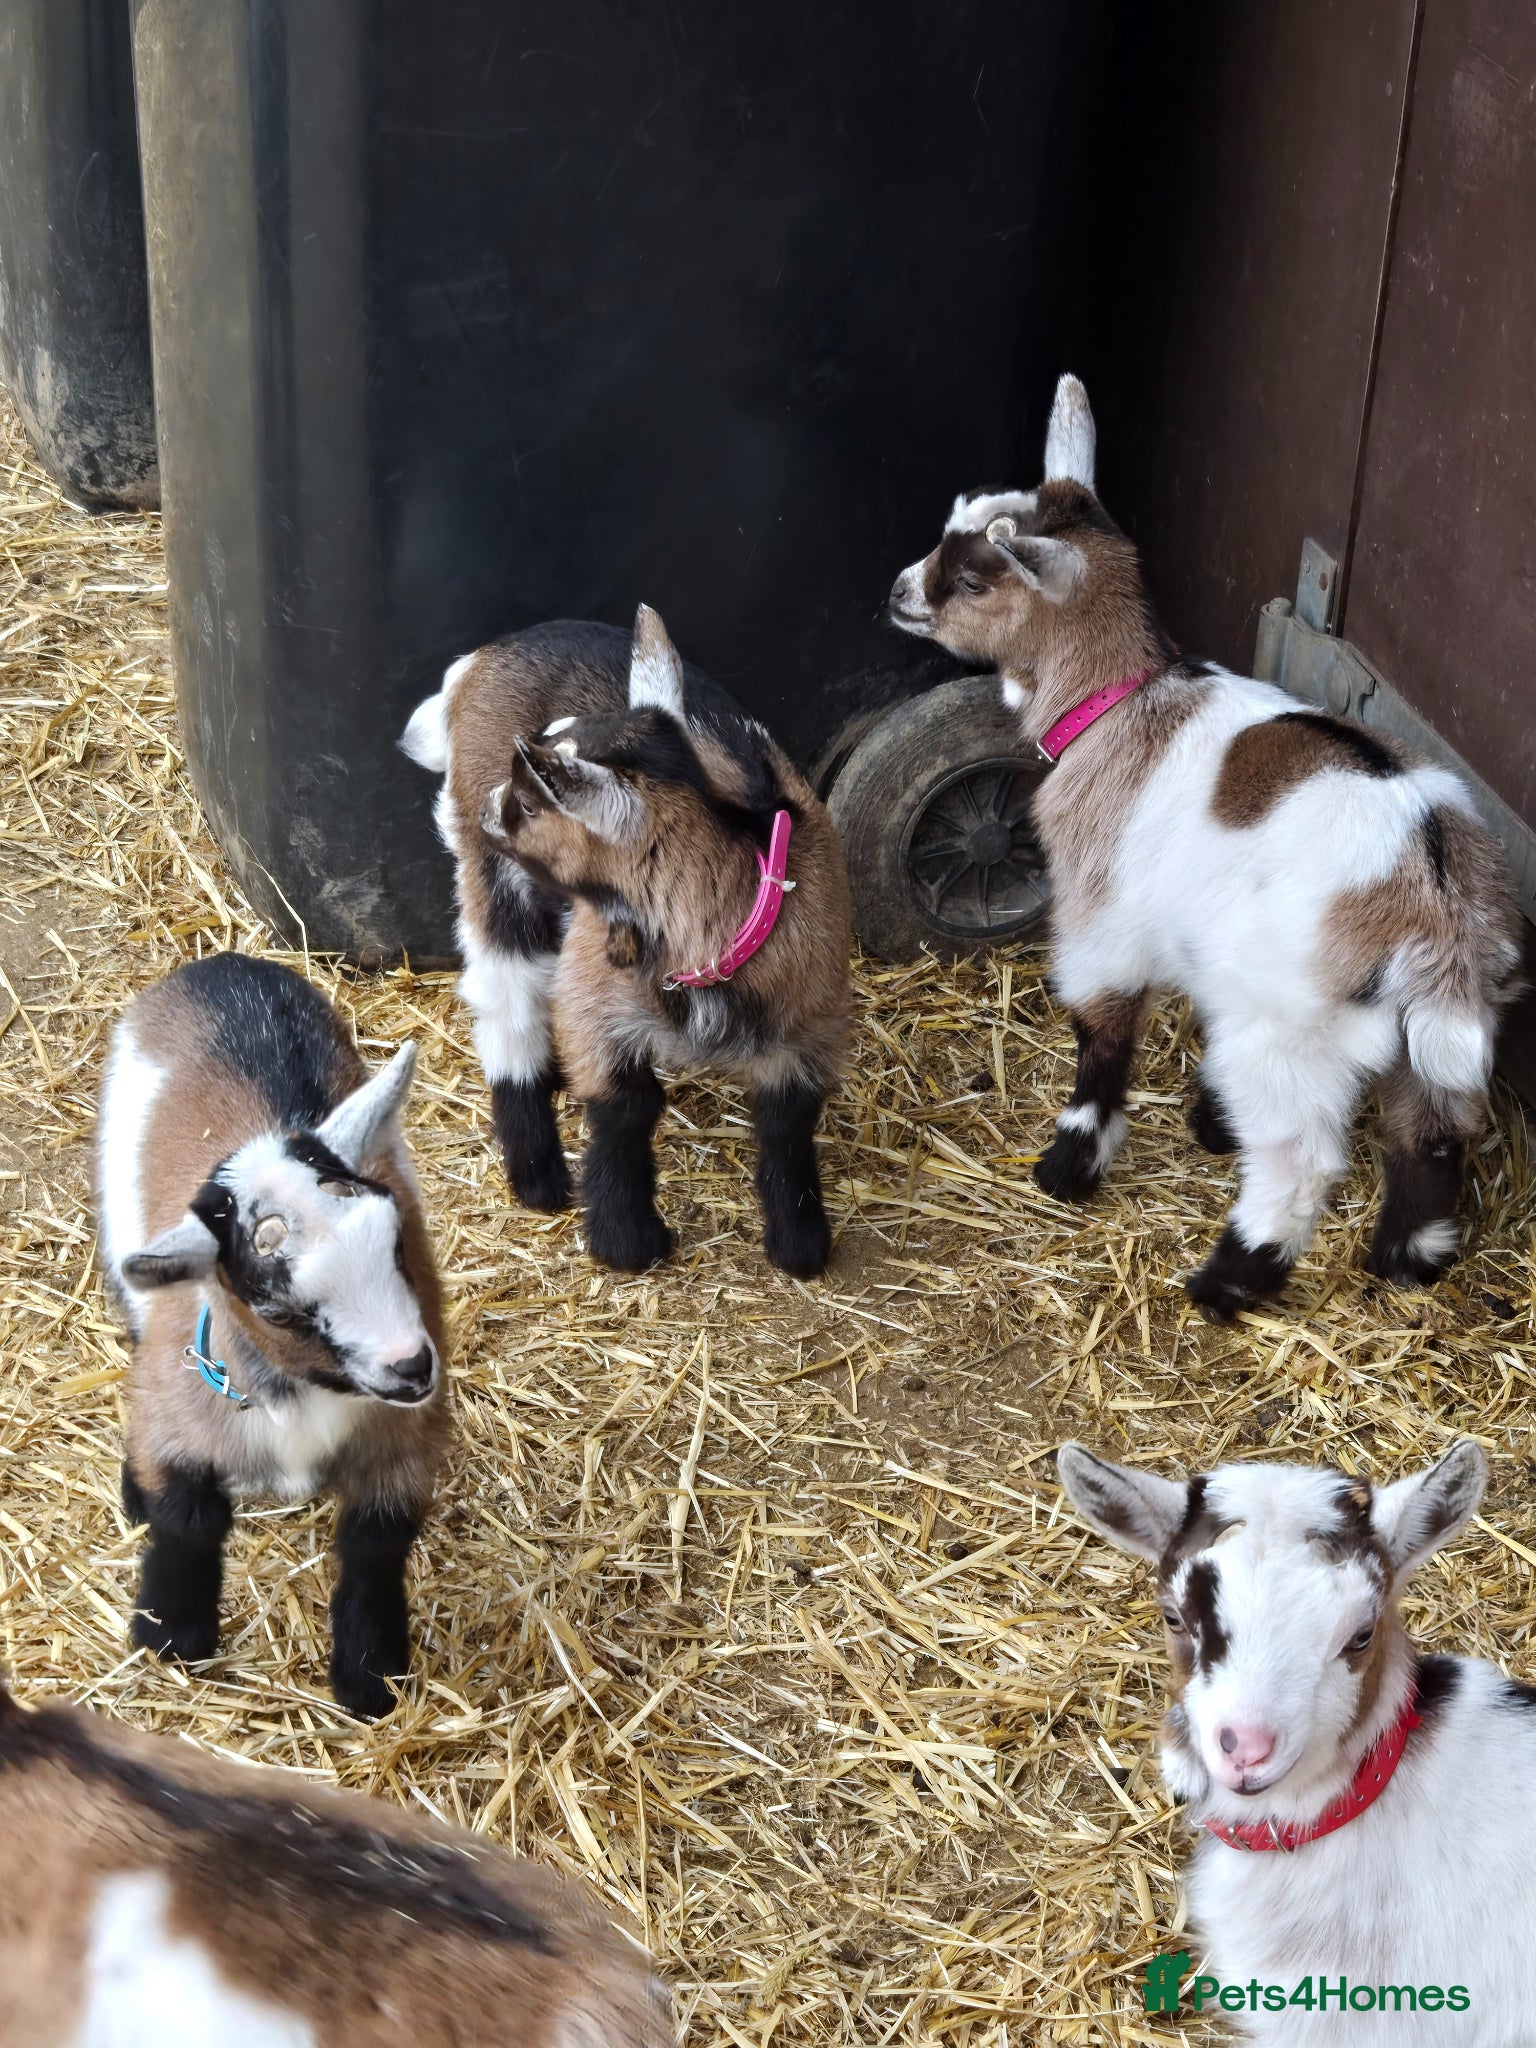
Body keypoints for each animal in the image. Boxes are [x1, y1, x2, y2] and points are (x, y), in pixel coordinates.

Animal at [96, 953, 450, 1718]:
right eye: (281, 1311)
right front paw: (171, 1633)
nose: (412, 1367)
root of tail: (220, 963)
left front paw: (370, 1674)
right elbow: (186, 1517)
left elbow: (376, 1542)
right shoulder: (181, 1403)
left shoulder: (405, 1441)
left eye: (397, 1247)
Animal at [400, 607, 852, 1276]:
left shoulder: (811, 1020)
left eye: (531, 801)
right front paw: (627, 1238)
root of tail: (485, 656)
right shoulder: (596, 992)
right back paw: (537, 1172)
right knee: (505, 995)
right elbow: (627, 1104)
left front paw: (800, 1242)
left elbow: (788, 1120)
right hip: (491, 876)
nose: (488, 807)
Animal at [889, 375, 1522, 1317]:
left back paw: (1232, 1277)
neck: (1116, 704)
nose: (897, 591)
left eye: (971, 579)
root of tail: (1434, 889)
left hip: (1292, 1024)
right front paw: (1210, 1122)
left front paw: (1072, 1161)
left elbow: (1101, 1029)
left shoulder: (1101, 913)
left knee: (1302, 1157)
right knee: (1432, 1134)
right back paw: (1406, 1259)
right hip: (1438, 1027)